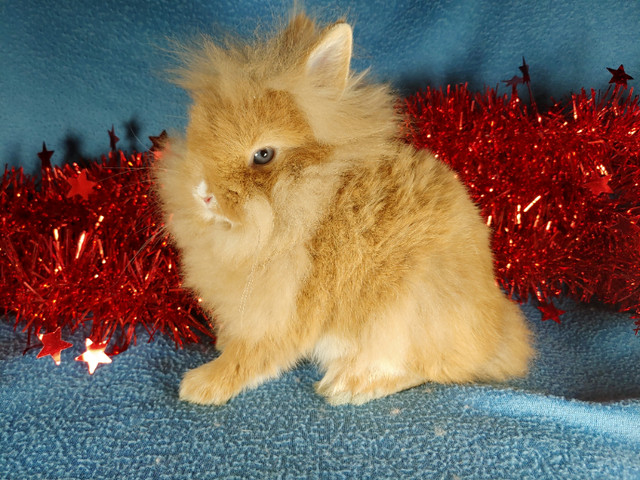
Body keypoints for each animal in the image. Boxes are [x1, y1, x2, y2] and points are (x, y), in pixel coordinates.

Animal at [152, 12, 532, 404]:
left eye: (263, 154)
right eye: (195, 131)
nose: (203, 193)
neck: (306, 206)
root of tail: (498, 336)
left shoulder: (281, 312)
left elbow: (252, 355)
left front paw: (201, 385)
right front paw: (219, 345)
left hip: (400, 317)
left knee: (419, 368)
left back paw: (348, 385)